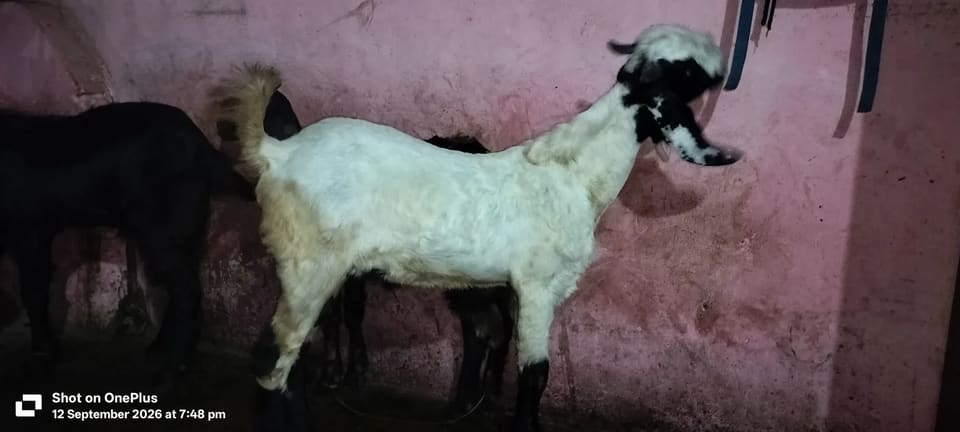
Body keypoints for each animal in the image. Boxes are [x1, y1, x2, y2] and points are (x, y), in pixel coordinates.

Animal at [0, 102, 254, 389]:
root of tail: (201, 143)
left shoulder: (30, 229)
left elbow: (33, 293)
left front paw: (39, 361)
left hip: (163, 226)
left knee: (186, 288)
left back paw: (170, 371)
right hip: (182, 227)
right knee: (183, 279)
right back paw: (158, 348)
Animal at [214, 23, 738, 432]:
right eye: (685, 69)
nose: (722, 68)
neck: (574, 176)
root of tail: (276, 153)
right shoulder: (537, 286)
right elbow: (535, 375)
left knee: (291, 358)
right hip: (309, 263)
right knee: (274, 358)